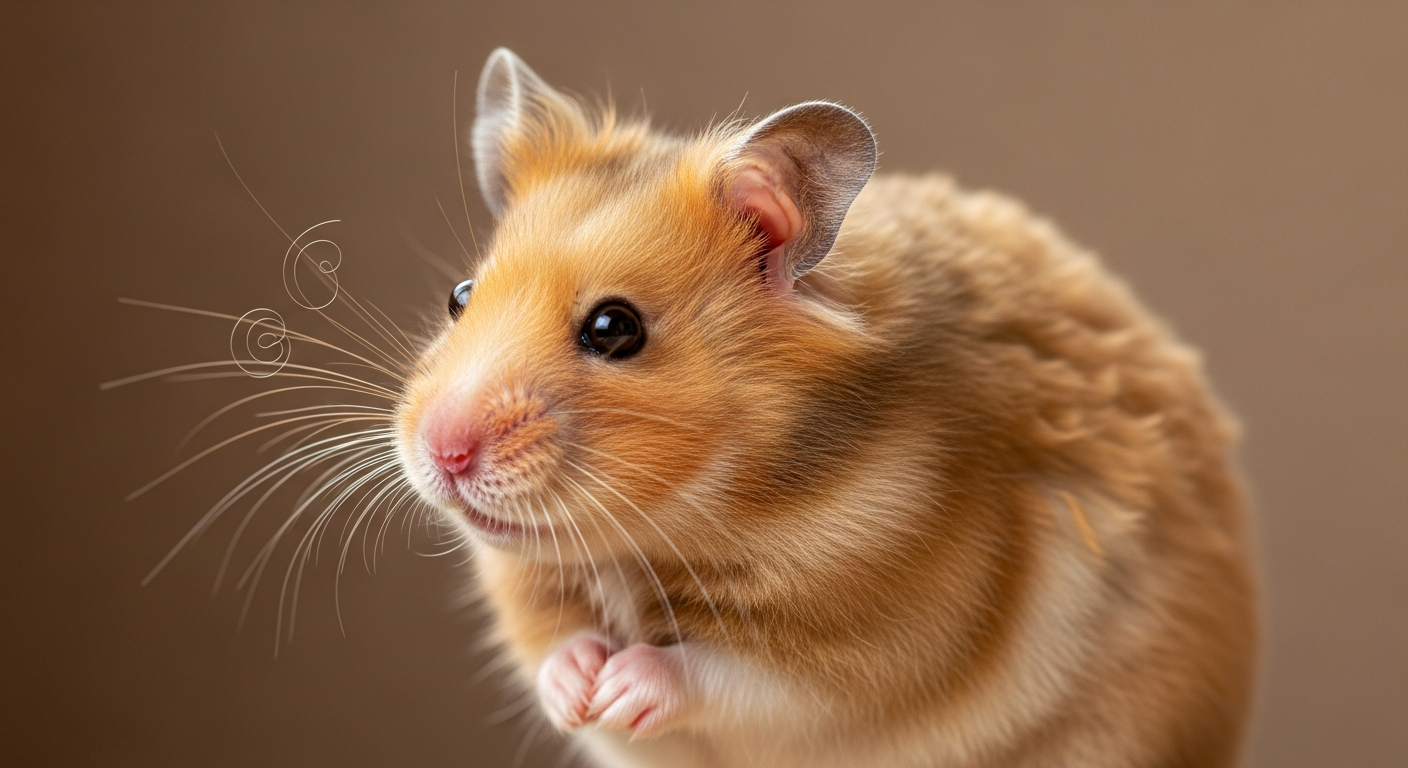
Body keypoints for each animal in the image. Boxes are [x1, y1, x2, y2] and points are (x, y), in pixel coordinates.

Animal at [394, 48, 1257, 768]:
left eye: (614, 328)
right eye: (460, 298)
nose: (443, 453)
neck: (659, 538)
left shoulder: (884, 645)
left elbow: (723, 677)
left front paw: (621, 685)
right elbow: (554, 652)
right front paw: (579, 689)